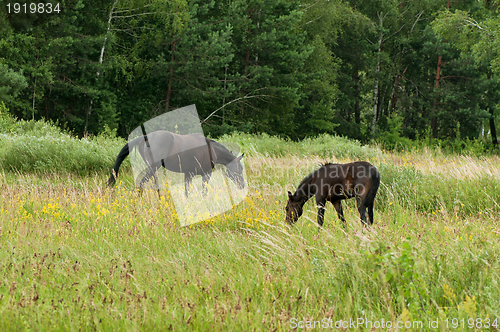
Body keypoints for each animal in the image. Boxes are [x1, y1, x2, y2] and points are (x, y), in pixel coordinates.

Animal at [107, 130, 244, 197]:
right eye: (240, 169)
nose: (242, 185)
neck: (212, 150)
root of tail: (146, 137)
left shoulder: (188, 174)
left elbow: (187, 191)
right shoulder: (206, 174)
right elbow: (204, 191)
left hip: (153, 168)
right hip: (153, 167)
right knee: (141, 183)